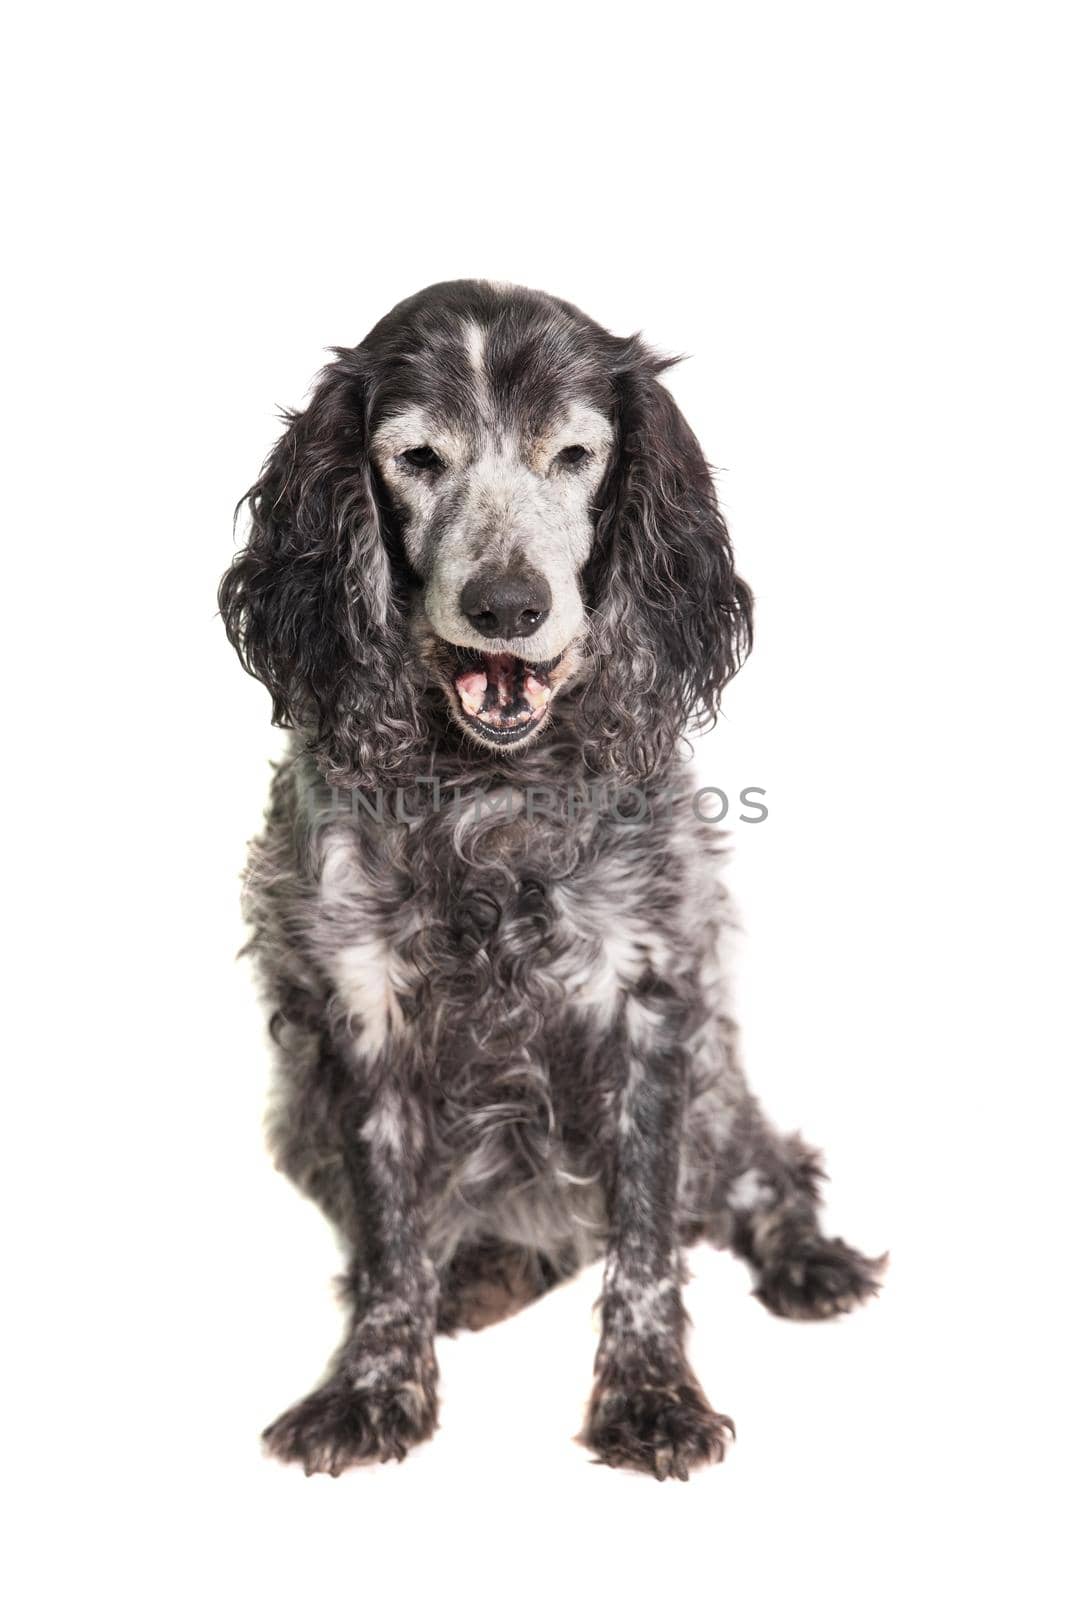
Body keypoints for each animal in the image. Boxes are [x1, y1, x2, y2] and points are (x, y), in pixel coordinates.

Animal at [219, 278, 883, 1484]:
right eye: (416, 457)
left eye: (573, 454)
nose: (505, 605)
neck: (487, 794)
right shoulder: (356, 1015)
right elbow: (389, 1237)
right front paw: (373, 1383)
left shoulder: (651, 1003)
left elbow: (645, 1246)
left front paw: (649, 1397)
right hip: (295, 1116)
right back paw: (475, 1281)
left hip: (721, 1089)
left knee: (767, 1171)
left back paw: (809, 1261)